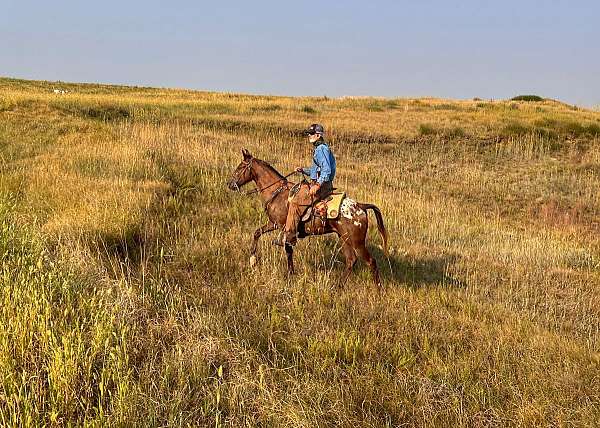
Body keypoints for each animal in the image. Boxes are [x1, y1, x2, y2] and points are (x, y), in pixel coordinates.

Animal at [226, 148, 390, 288]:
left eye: (240, 167)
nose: (229, 184)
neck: (277, 192)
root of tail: (360, 206)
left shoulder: (282, 227)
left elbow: (287, 248)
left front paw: (288, 273)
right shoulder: (274, 224)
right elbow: (257, 233)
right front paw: (253, 261)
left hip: (357, 242)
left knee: (371, 261)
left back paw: (379, 289)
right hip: (344, 239)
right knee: (351, 261)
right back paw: (338, 287)